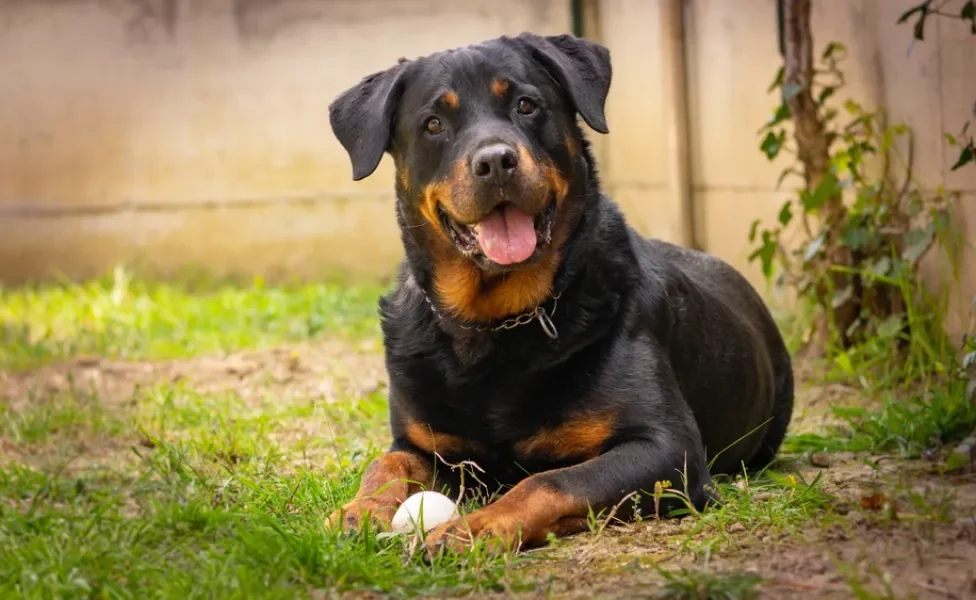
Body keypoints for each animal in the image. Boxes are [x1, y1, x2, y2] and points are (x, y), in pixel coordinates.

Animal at [324, 31, 796, 552]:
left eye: (526, 105)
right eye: (433, 124)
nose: (495, 161)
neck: (495, 325)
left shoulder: (668, 449)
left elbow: (550, 481)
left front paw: (476, 527)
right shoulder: (425, 445)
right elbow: (387, 462)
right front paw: (357, 511)